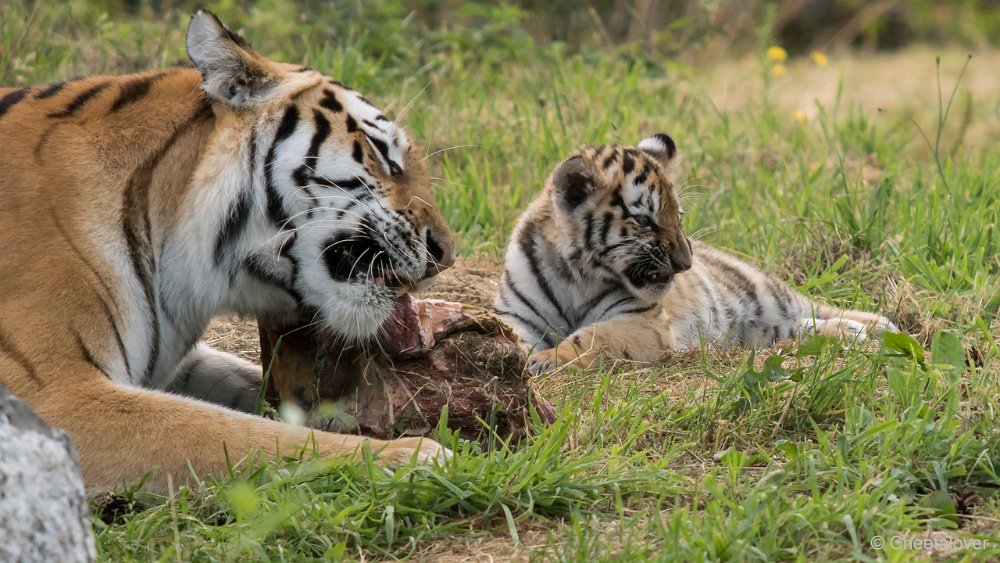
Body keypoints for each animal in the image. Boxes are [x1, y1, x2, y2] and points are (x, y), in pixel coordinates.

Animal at [496, 135, 896, 374]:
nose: (685, 264)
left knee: (816, 307)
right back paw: (853, 333)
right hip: (758, 333)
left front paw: (548, 359)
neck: (574, 274)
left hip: (765, 291)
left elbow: (590, 338)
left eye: (679, 215)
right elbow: (509, 337)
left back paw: (878, 325)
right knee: (801, 328)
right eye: (644, 220)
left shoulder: (642, 320)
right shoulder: (516, 315)